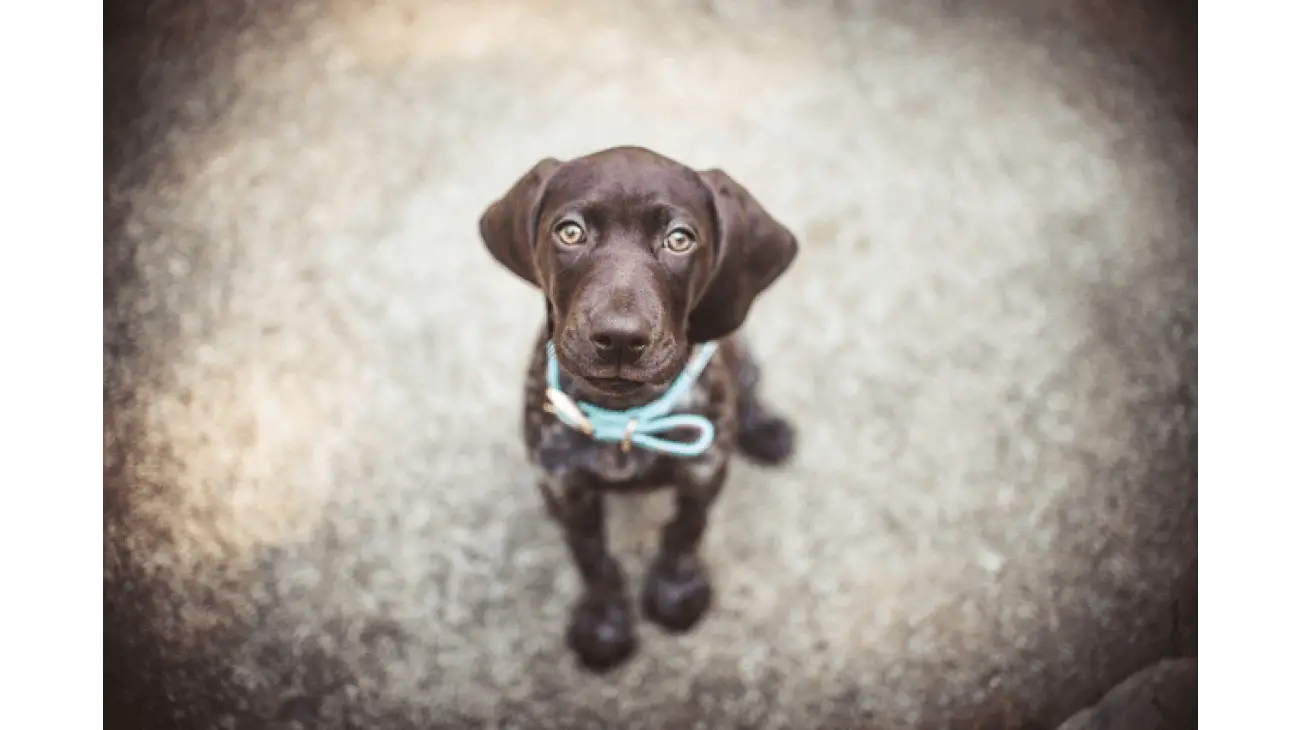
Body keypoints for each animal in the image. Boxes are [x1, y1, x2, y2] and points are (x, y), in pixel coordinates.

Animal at [480, 143, 795, 670]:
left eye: (679, 239)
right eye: (570, 231)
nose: (621, 338)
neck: (624, 417)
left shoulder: (703, 470)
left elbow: (684, 533)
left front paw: (676, 592)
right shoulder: (563, 487)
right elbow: (593, 560)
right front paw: (604, 623)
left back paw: (766, 430)